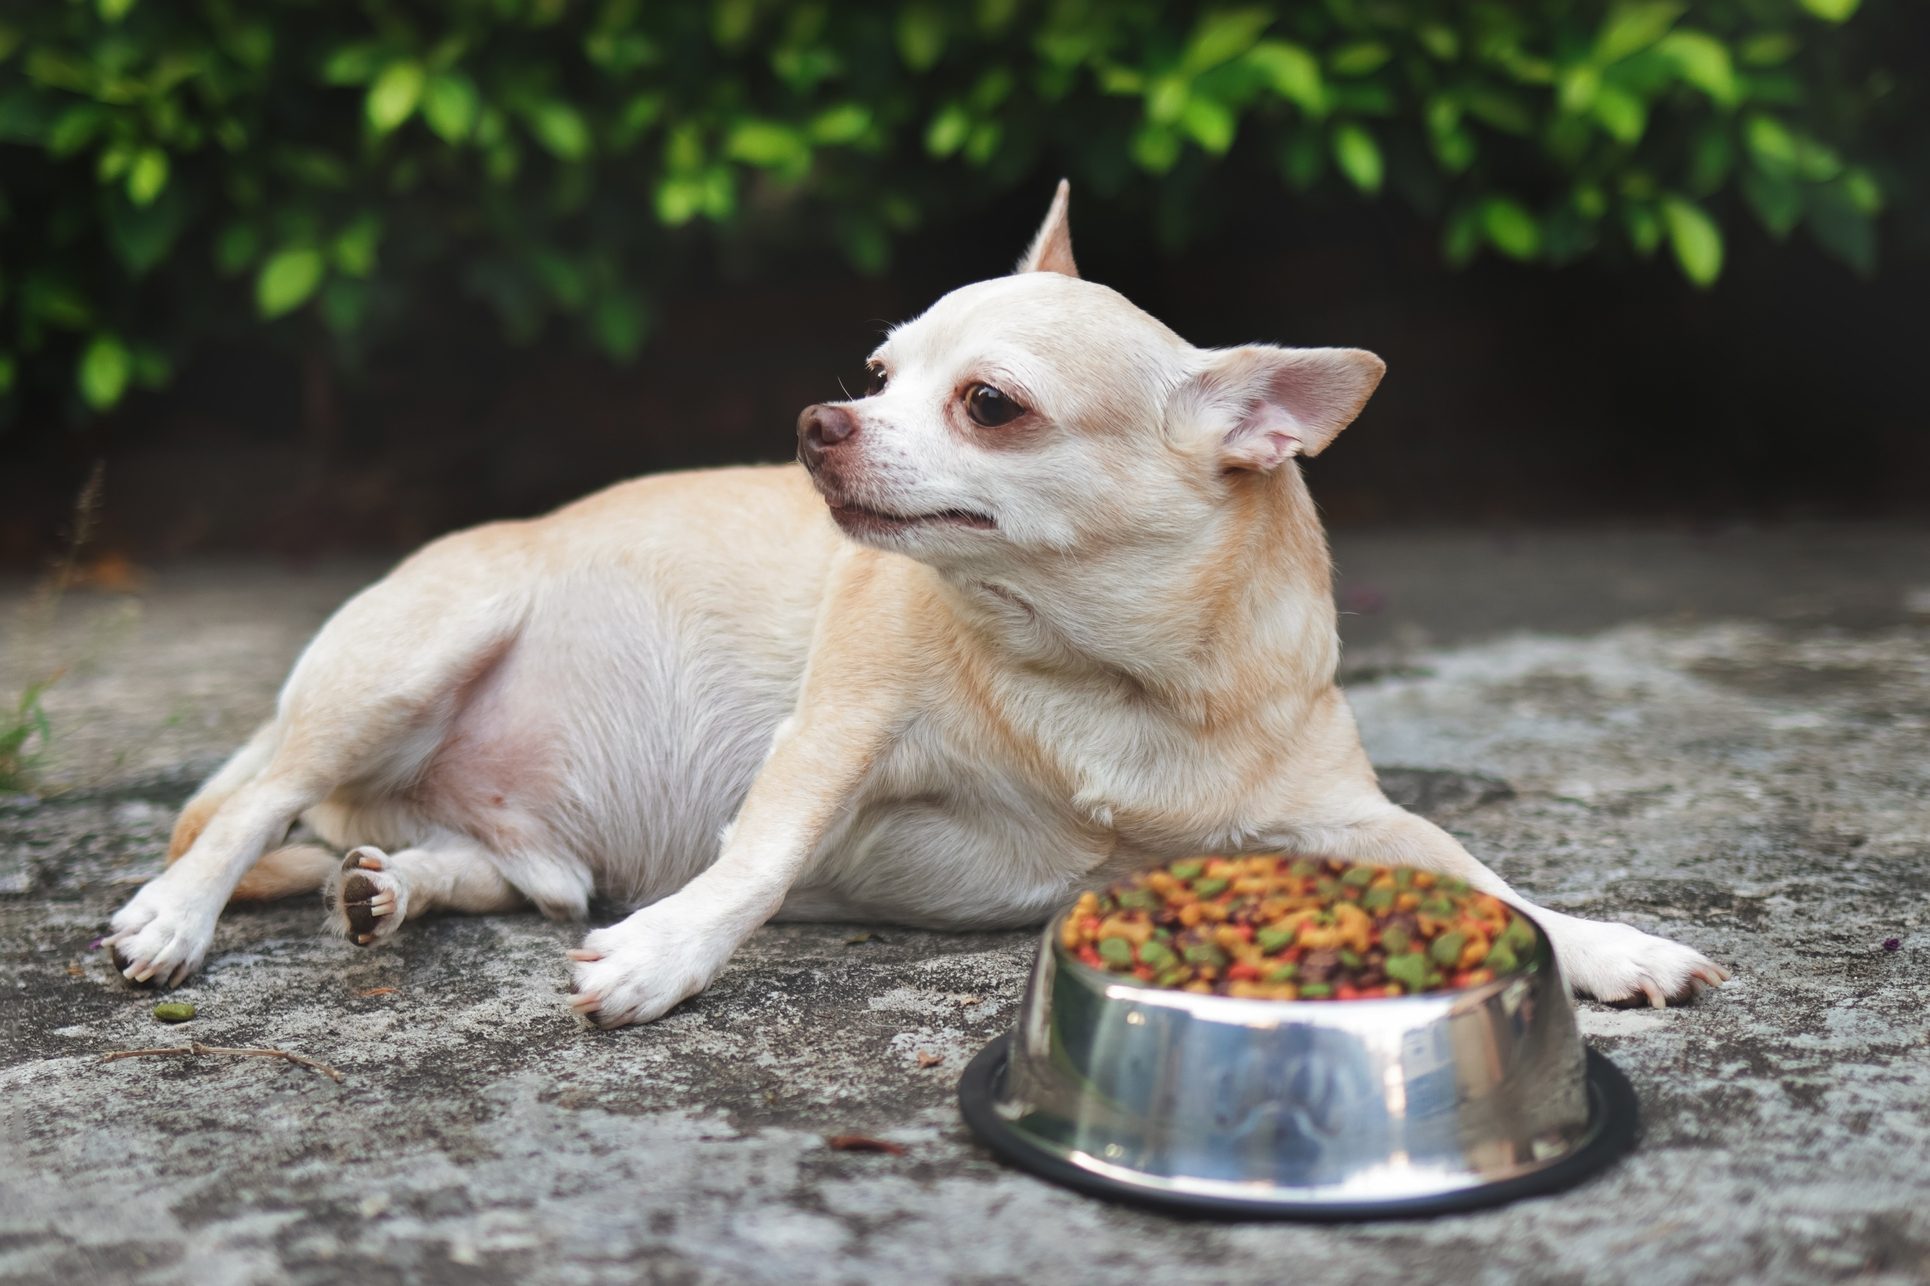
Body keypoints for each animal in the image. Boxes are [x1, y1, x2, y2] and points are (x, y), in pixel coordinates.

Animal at [105, 182, 1729, 1019]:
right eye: (880, 370)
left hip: (522, 838)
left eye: (989, 404)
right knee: (248, 807)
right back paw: (174, 920)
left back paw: (391, 887)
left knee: (496, 870)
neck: (1105, 670)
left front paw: (1607, 945)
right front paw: (667, 958)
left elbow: (1489, 881)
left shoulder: (1350, 819)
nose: (821, 416)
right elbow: (757, 860)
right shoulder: (832, 739)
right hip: (408, 657)